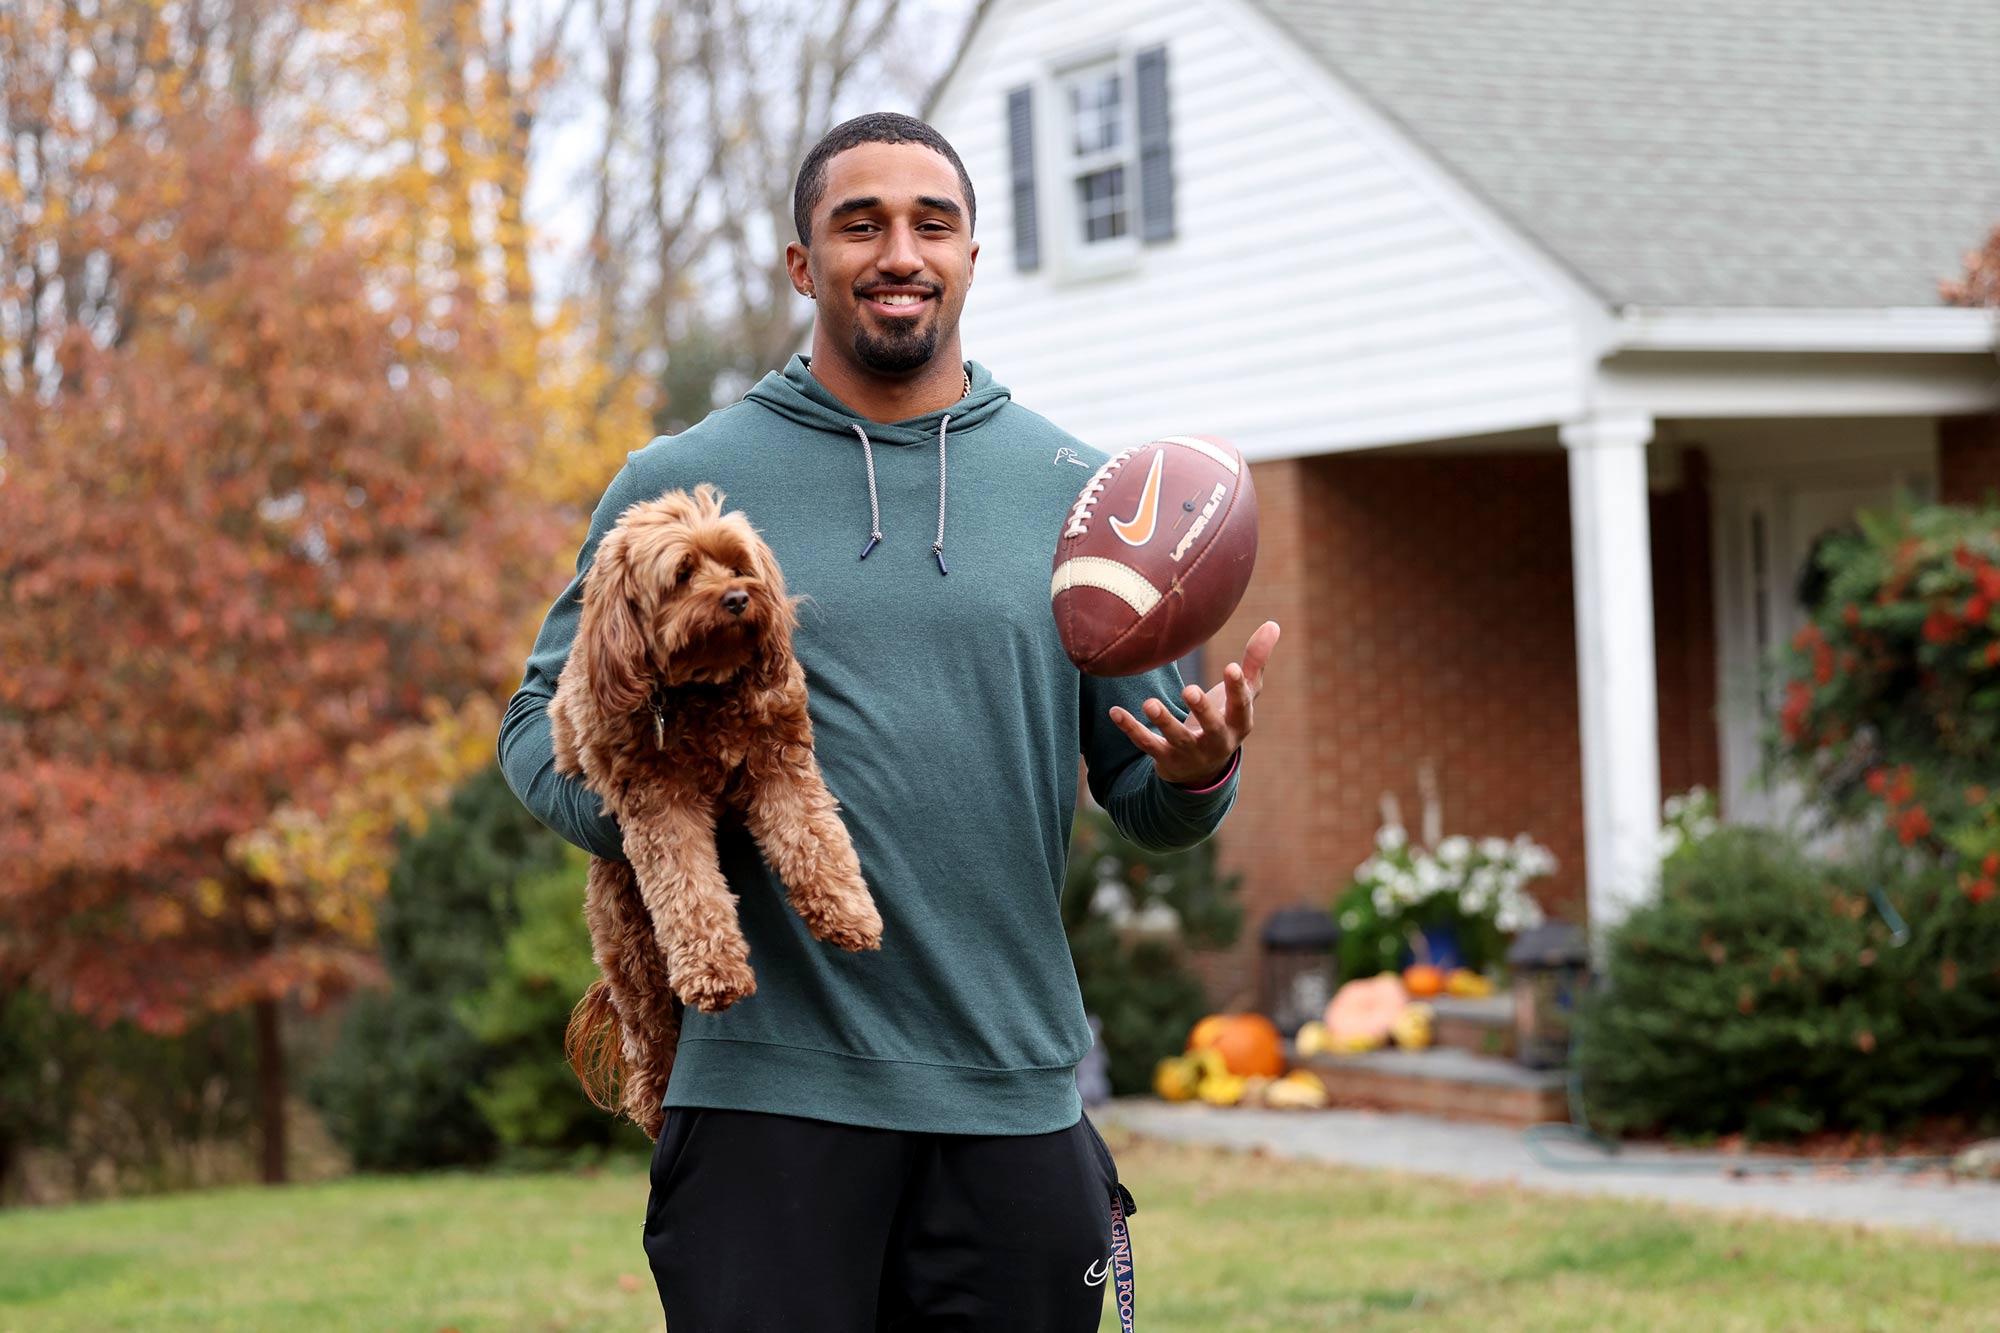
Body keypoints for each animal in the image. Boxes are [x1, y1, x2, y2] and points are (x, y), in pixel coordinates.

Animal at [556, 482, 884, 1136]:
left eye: (736, 566)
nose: (737, 598)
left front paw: (849, 913)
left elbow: (815, 840)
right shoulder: (658, 803)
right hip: (630, 945)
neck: (702, 690)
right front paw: (716, 972)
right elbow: (690, 891)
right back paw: (655, 1106)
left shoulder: (779, 764)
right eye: (682, 574)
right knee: (649, 1035)